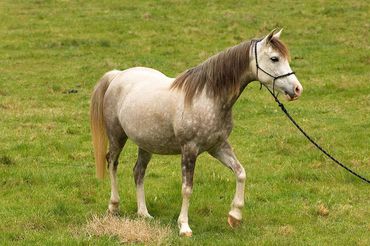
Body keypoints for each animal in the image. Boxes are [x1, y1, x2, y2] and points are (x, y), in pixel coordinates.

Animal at [90, 29, 304, 236]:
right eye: (275, 58)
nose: (297, 89)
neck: (208, 97)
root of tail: (117, 76)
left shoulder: (218, 147)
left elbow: (241, 172)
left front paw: (234, 216)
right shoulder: (189, 150)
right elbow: (187, 188)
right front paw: (184, 226)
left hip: (146, 144)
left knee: (138, 172)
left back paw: (143, 213)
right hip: (117, 136)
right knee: (112, 163)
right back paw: (114, 206)